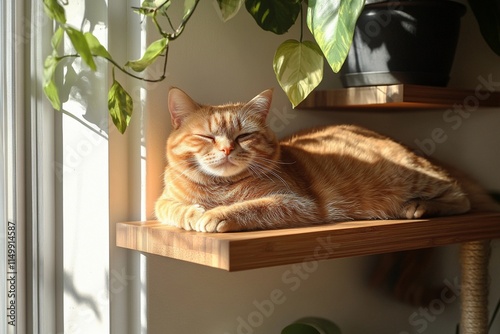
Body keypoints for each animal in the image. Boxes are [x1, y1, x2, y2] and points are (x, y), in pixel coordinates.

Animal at [156, 88, 472, 232]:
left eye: (244, 136)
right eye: (207, 137)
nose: (226, 150)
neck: (219, 187)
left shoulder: (296, 203)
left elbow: (252, 206)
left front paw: (216, 214)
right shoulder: (163, 200)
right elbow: (171, 209)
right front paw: (194, 213)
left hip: (412, 177)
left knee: (461, 197)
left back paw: (419, 206)